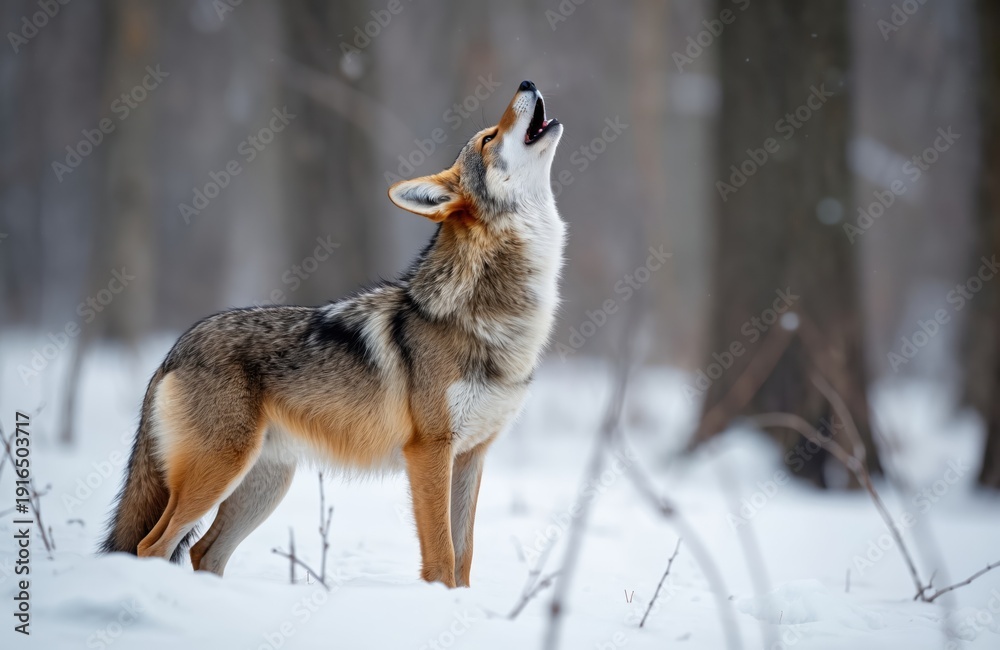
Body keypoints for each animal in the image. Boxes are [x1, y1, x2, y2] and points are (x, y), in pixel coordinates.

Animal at [100, 80, 565, 588]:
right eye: (487, 138)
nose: (526, 83)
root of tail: (175, 350)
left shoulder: (471, 457)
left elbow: (464, 559)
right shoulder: (429, 452)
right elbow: (443, 557)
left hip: (262, 487)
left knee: (203, 551)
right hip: (220, 472)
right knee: (151, 547)